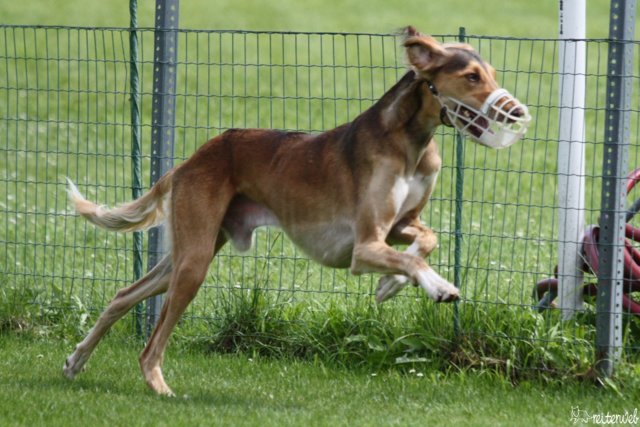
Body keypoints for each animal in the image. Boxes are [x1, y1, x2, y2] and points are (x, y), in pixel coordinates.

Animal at [63, 26, 530, 396]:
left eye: (492, 74)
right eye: (471, 76)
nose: (517, 112)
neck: (409, 143)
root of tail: (190, 161)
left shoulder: (400, 226)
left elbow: (426, 241)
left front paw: (391, 285)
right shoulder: (364, 247)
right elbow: (410, 259)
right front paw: (434, 286)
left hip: (190, 252)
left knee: (123, 296)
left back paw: (76, 360)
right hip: (194, 263)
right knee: (152, 342)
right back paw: (158, 386)